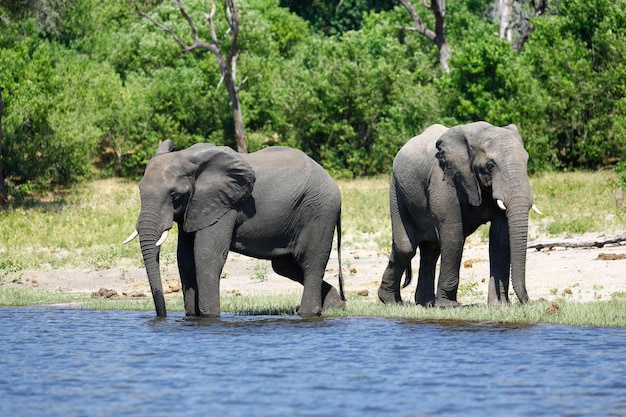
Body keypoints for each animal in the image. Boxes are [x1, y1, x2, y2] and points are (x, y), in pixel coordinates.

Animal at [123, 141, 344, 316]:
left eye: (174, 194)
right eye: (140, 191)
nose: (162, 315)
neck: (187, 157)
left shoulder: (224, 205)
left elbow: (206, 255)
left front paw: (209, 316)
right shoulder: (195, 207)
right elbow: (185, 258)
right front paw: (192, 317)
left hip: (320, 210)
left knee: (311, 263)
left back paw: (308, 313)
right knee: (285, 266)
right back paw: (335, 306)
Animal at [378, 120, 540, 306]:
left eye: (526, 162)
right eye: (490, 166)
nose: (527, 301)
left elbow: (500, 238)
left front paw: (500, 306)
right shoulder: (442, 180)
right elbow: (453, 233)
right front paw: (448, 306)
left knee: (431, 250)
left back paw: (426, 303)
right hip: (396, 190)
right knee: (406, 248)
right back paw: (392, 302)